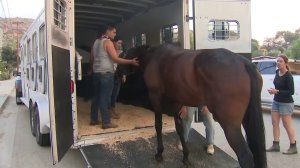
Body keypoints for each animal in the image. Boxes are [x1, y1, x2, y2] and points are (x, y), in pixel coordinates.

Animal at [127, 44, 266, 167]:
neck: (155, 57)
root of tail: (245, 63)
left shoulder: (156, 98)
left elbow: (158, 125)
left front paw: (159, 154)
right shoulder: (176, 103)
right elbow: (180, 128)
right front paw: (185, 157)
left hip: (231, 126)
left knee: (245, 156)